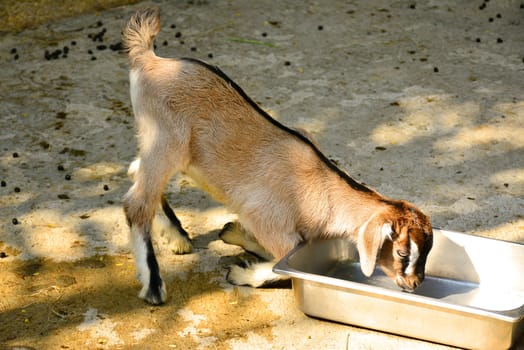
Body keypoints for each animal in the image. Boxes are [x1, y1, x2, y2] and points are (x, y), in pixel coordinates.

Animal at [121, 6, 432, 304]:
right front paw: (241, 271)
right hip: (165, 139)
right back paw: (153, 285)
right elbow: (282, 265)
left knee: (136, 172)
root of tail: (149, 59)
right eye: (403, 252)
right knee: (137, 202)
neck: (321, 188)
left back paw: (177, 236)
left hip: (165, 149)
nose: (415, 284)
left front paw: (234, 233)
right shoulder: (267, 218)